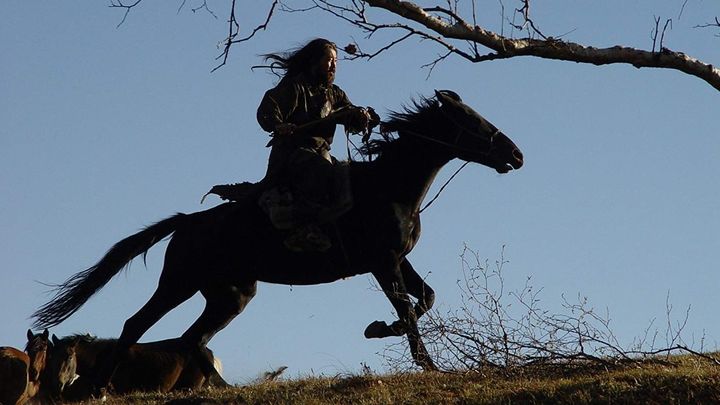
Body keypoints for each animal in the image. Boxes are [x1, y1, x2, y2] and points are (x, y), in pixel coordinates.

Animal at [32, 90, 524, 388]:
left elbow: (426, 298)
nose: (516, 155)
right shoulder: (382, 263)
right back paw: (97, 387)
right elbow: (407, 308)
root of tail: (188, 222)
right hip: (179, 283)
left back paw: (223, 388)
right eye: (471, 121)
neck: (389, 187)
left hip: (231, 294)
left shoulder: (398, 260)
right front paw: (418, 357)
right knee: (138, 324)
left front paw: (386, 333)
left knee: (192, 339)